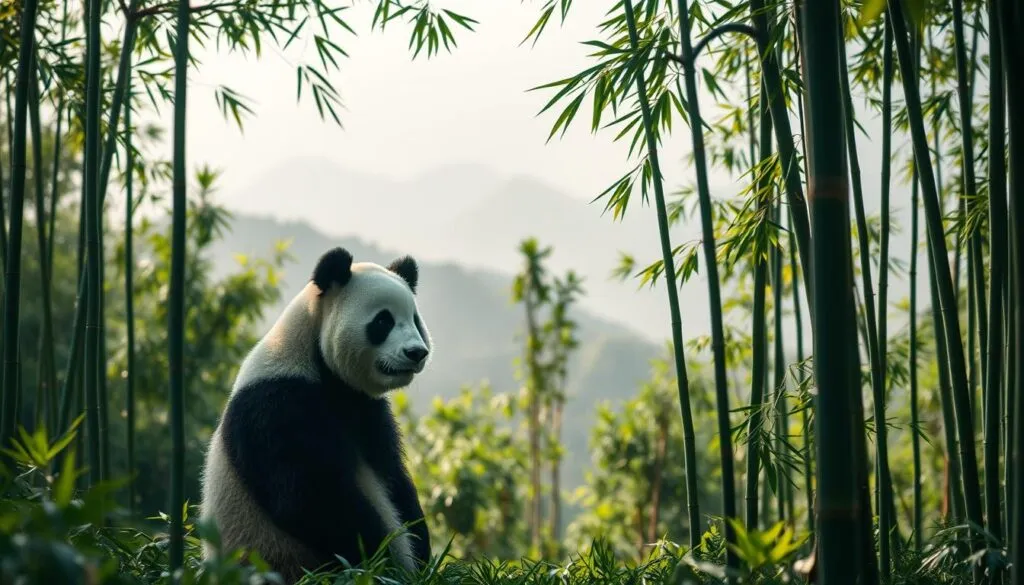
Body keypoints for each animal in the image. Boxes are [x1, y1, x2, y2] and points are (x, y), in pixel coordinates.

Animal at [198, 246, 433, 583]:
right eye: (383, 321)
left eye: (414, 319)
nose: (416, 352)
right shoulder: (276, 403)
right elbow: (308, 497)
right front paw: (385, 561)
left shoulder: (366, 408)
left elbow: (394, 477)